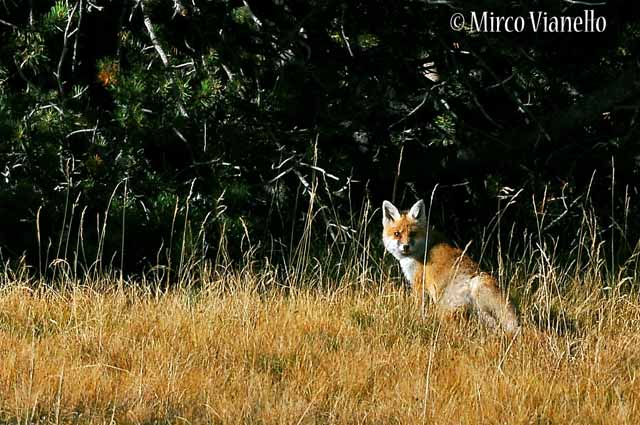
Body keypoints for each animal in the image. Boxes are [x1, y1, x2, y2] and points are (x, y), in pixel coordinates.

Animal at [382, 199, 519, 333]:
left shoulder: (419, 284)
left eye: (412, 234)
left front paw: (418, 321)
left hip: (451, 306)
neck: (422, 249)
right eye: (397, 234)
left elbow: (420, 309)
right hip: (480, 312)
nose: (405, 246)